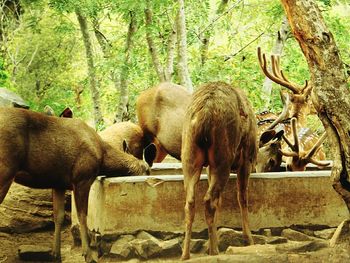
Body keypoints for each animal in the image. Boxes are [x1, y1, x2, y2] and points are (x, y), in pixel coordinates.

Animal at [0, 106, 149, 262]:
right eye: (147, 170)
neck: (102, 156)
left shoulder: (58, 183)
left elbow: (58, 217)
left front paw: (56, 254)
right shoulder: (82, 178)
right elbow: (82, 216)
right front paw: (88, 254)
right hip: (5, 169)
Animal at [180, 82, 258, 260]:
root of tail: (204, 116)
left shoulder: (208, 167)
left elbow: (221, 201)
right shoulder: (246, 159)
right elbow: (242, 197)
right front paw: (249, 239)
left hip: (189, 156)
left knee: (190, 202)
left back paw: (186, 254)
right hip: (222, 157)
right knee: (209, 200)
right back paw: (213, 251)